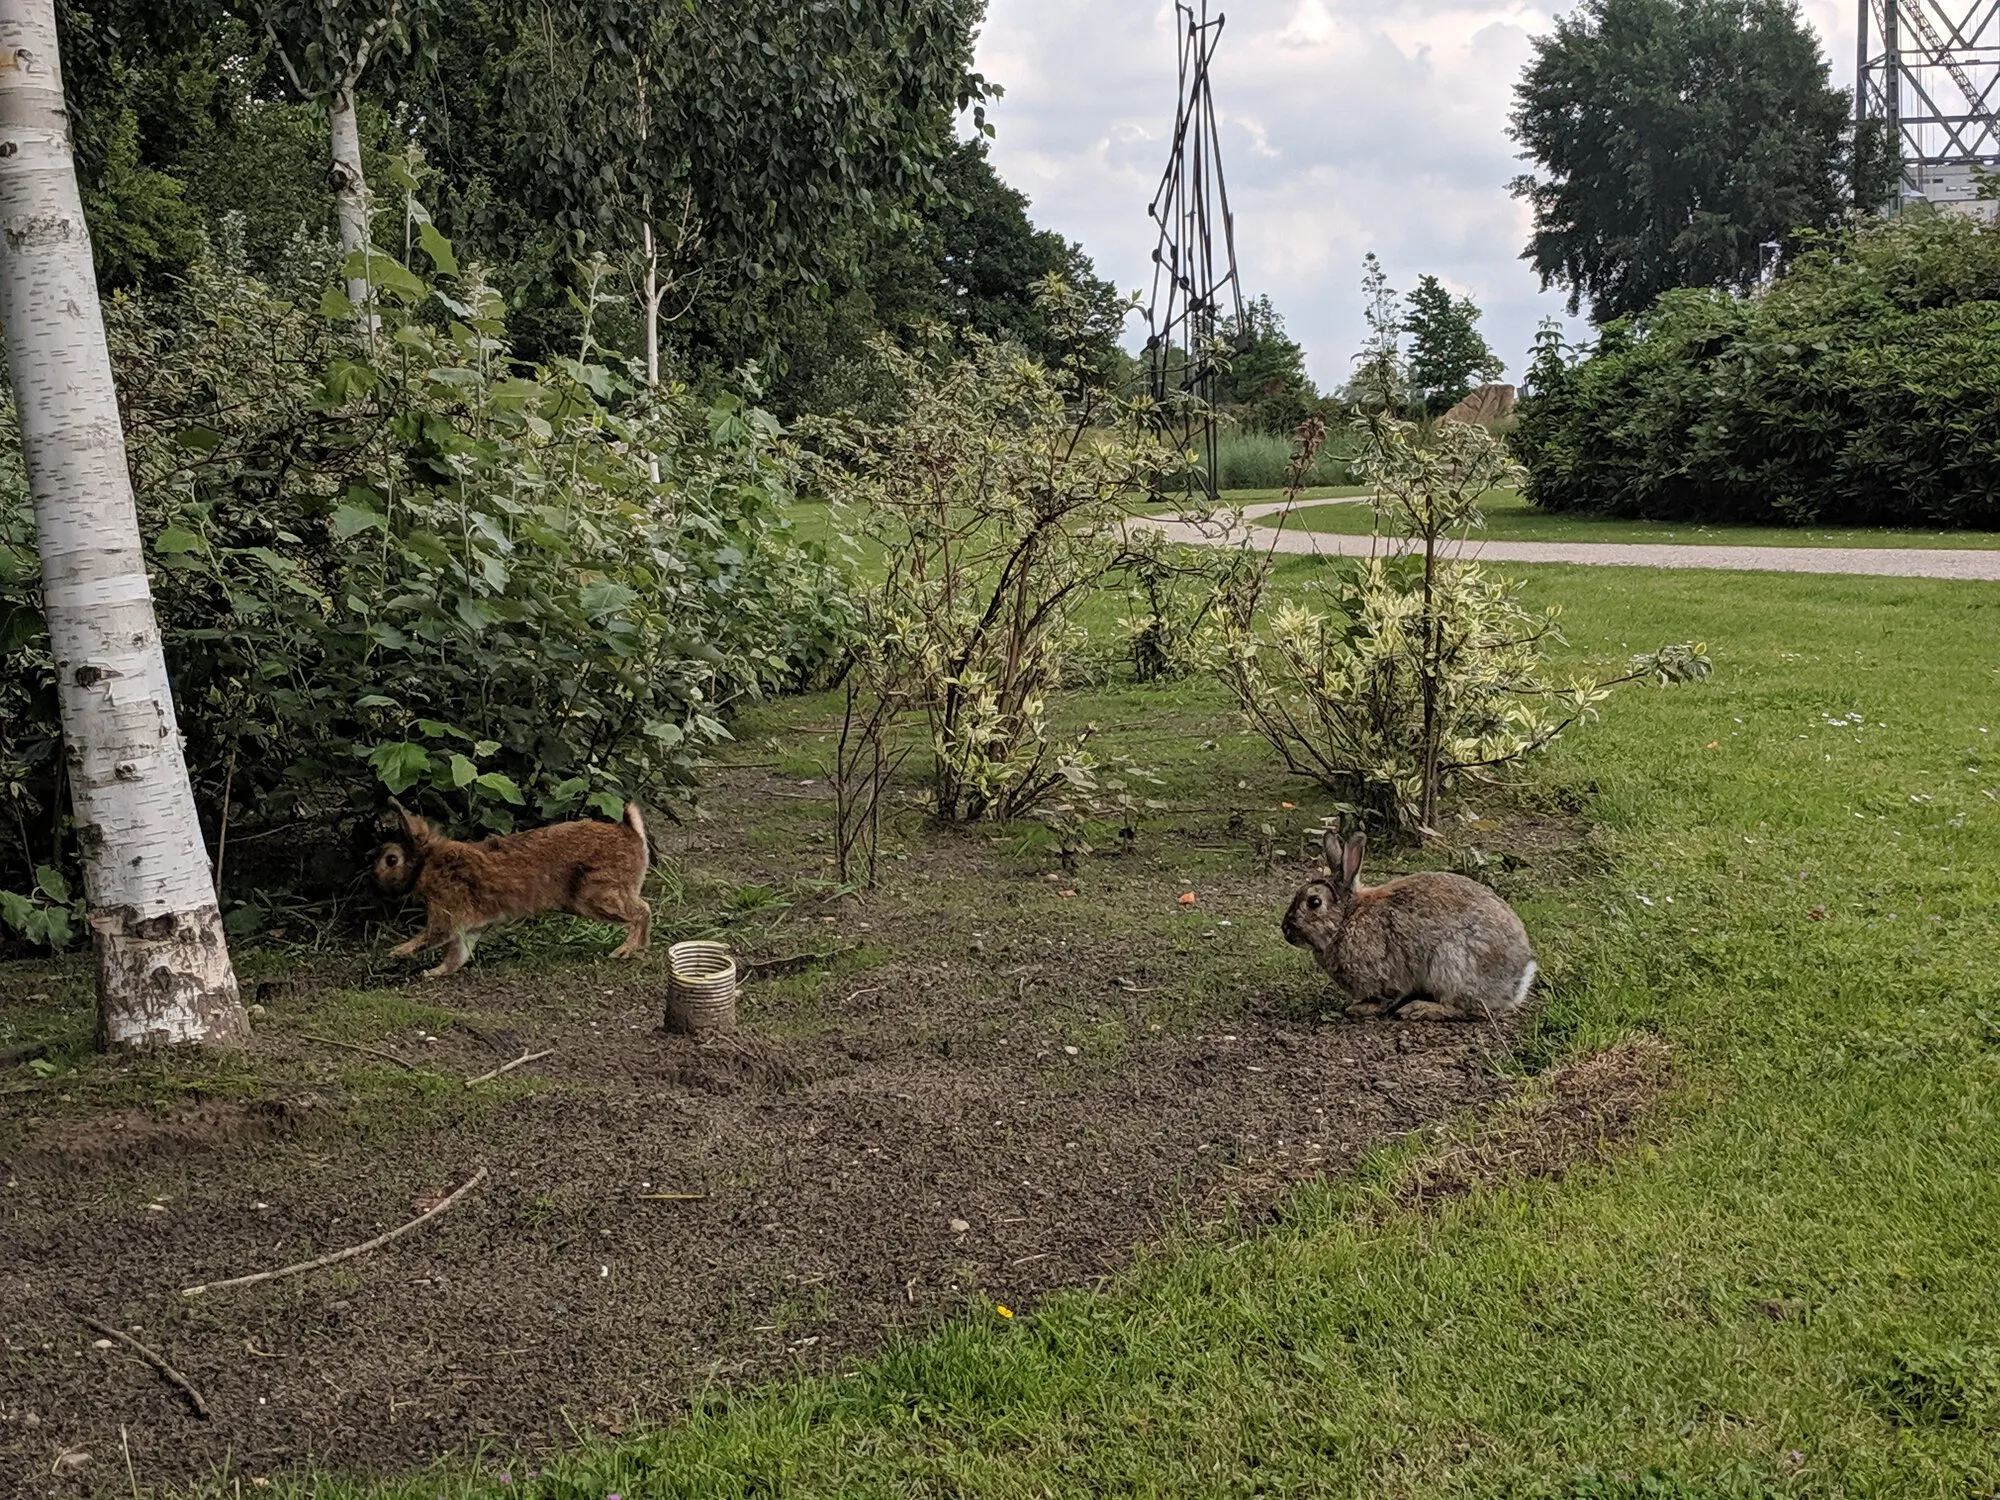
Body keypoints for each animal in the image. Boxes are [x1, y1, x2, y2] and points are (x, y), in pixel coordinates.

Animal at [373, 799, 651, 978]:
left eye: (391, 859)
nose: (374, 880)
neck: (426, 861)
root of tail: (630, 832)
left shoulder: (447, 911)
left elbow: (432, 936)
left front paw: (396, 953)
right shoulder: (471, 927)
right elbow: (458, 955)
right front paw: (433, 973)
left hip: (596, 895)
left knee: (642, 911)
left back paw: (625, 950)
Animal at [1281, 829, 1536, 1021]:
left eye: (1314, 902)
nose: (1285, 930)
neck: (1346, 919)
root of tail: (1518, 978)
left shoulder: (1384, 974)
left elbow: (1385, 997)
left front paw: (1359, 1008)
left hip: (1452, 962)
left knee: (1468, 1008)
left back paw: (1419, 1009)